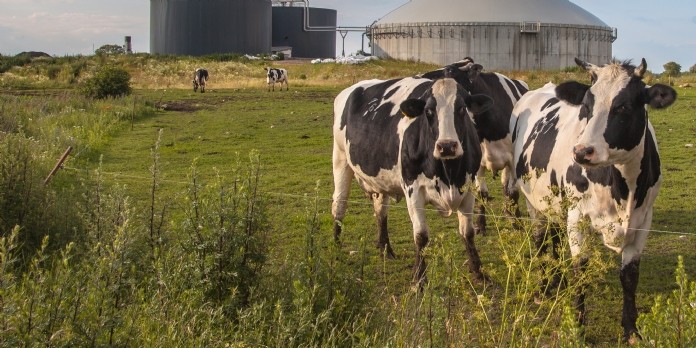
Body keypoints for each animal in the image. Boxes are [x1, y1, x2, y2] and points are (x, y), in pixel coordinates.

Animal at [332, 77, 494, 284]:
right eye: (428, 111)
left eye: (461, 109)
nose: (447, 146)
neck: (448, 174)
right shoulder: (413, 190)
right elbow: (421, 236)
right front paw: (419, 279)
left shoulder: (468, 188)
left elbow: (468, 233)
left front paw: (479, 272)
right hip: (340, 159)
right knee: (339, 204)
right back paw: (336, 247)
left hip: (380, 182)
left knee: (381, 211)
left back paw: (386, 249)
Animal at [418, 57, 528, 234]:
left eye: (449, 70)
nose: (420, 76)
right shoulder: (477, 162)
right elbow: (481, 193)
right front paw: (480, 224)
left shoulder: (512, 160)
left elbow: (513, 192)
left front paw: (517, 223)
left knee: (507, 188)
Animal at [508, 57, 676, 340]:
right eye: (586, 105)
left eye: (623, 106)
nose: (582, 151)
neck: (623, 189)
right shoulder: (578, 217)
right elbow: (581, 270)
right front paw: (578, 327)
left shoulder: (643, 220)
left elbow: (630, 276)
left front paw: (631, 329)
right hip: (533, 201)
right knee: (540, 240)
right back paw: (543, 288)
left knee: (554, 235)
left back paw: (557, 280)